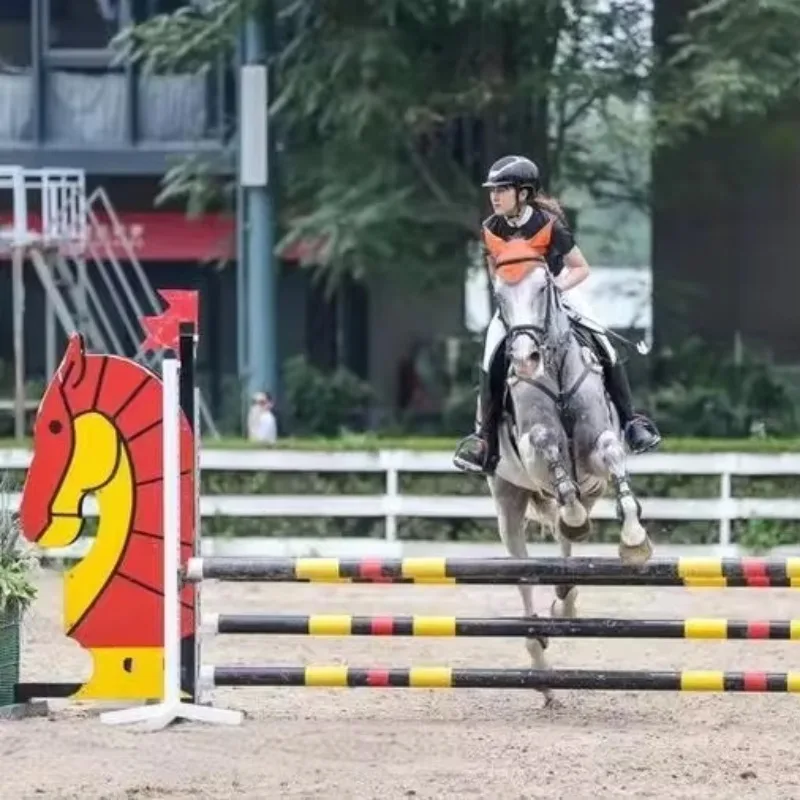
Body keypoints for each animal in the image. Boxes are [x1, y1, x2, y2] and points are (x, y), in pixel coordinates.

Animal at [484, 258, 652, 704]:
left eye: (544, 288)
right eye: (498, 295)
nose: (525, 359)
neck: (555, 369)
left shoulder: (596, 452)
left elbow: (611, 454)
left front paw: (634, 539)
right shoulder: (535, 454)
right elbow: (547, 446)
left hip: (589, 491)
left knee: (566, 545)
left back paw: (566, 601)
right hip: (507, 502)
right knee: (525, 572)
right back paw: (541, 666)